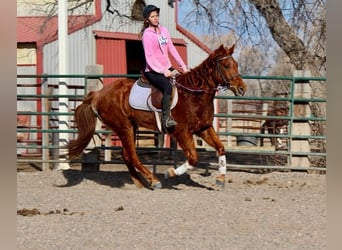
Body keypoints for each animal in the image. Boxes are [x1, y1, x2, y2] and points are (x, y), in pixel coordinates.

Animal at [68, 45, 247, 189]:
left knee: (127, 155)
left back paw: (140, 182)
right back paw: (154, 180)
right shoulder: (182, 132)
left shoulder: (203, 128)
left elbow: (220, 148)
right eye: (226, 65)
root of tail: (98, 94)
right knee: (132, 156)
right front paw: (171, 173)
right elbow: (193, 157)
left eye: (236, 65)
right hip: (124, 127)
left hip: (131, 127)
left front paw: (221, 179)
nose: (242, 89)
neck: (192, 95)